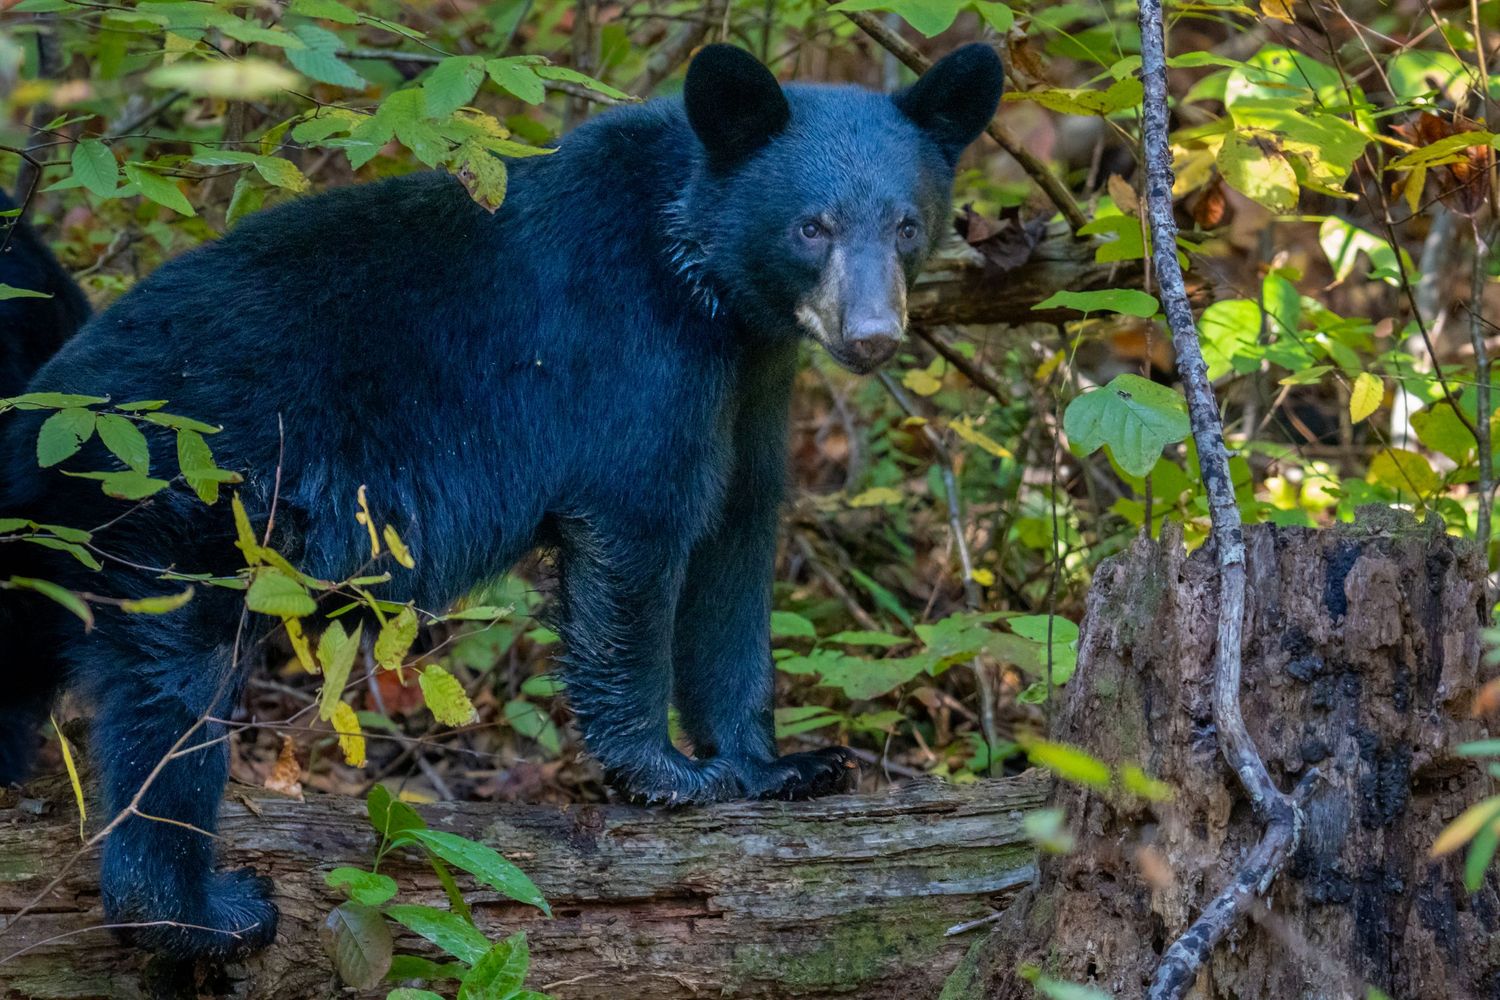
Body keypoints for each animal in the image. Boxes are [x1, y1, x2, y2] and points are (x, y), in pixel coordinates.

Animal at [0, 42, 1004, 960]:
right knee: (171, 707)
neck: (705, 284)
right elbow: (638, 536)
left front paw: (781, 763)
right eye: (812, 227)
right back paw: (204, 915)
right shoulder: (634, 356)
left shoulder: (751, 380)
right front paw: (669, 774)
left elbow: (736, 544)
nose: (871, 335)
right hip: (176, 517)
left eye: (907, 224)